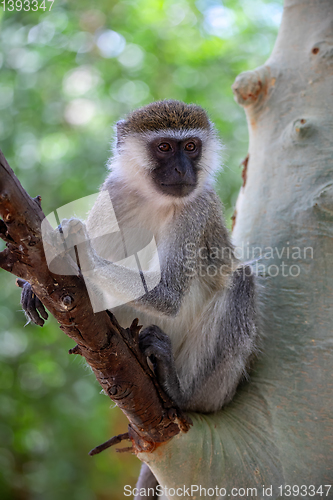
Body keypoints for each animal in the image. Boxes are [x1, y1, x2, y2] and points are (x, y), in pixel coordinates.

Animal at [21, 99, 256, 498]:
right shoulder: (112, 193)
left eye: (190, 146)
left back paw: (179, 391)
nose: (181, 168)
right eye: (164, 147)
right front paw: (34, 283)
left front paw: (74, 248)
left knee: (242, 280)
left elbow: (170, 294)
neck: (153, 198)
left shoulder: (196, 209)